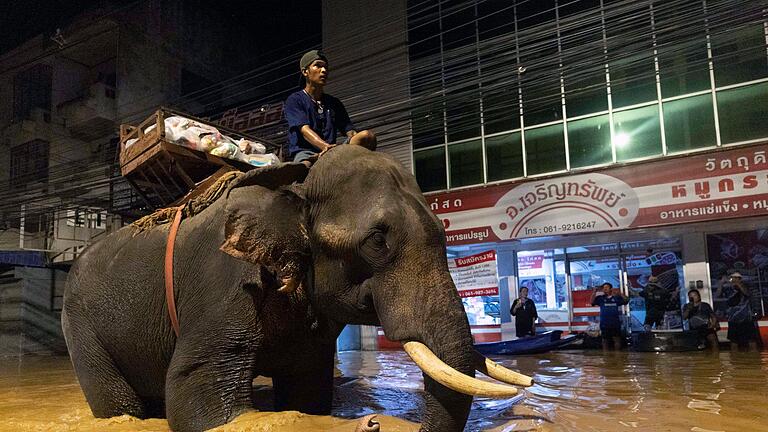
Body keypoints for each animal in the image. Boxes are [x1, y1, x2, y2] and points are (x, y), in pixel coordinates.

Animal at [61, 143, 536, 432]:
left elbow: (307, 392)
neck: (298, 181)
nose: (375, 423)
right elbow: (198, 398)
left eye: (443, 232)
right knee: (119, 405)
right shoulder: (225, 283)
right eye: (377, 241)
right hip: (80, 326)